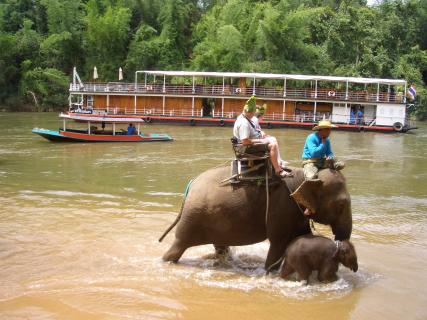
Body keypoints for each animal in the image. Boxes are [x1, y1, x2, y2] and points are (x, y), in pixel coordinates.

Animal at [159, 165, 352, 270]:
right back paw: (166, 262)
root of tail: (191, 184)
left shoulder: (295, 213)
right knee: (178, 247)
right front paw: (269, 271)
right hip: (193, 218)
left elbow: (303, 237)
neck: (303, 176)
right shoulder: (282, 210)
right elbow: (278, 243)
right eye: (341, 205)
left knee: (220, 247)